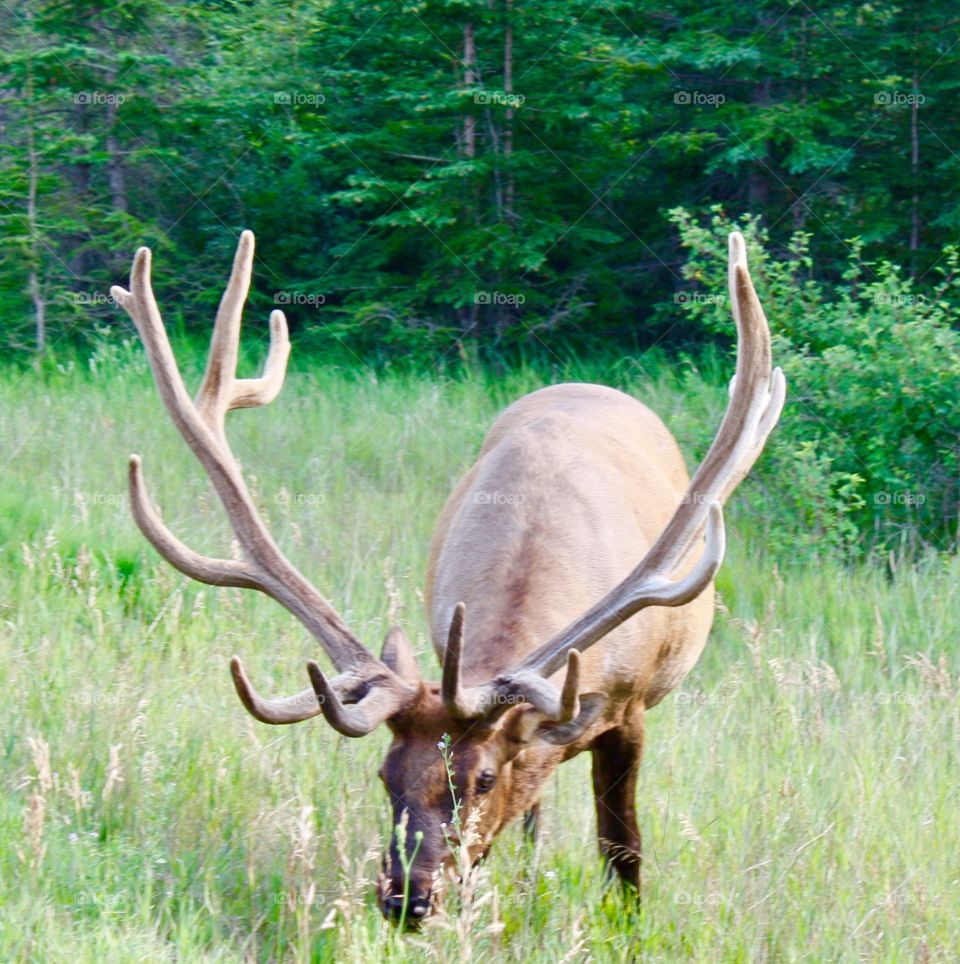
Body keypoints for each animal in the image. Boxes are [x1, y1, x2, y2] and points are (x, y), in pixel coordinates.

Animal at [111, 229, 784, 924]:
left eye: (480, 778)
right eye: (385, 776)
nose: (407, 896)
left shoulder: (628, 710)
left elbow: (622, 847)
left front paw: (627, 923)